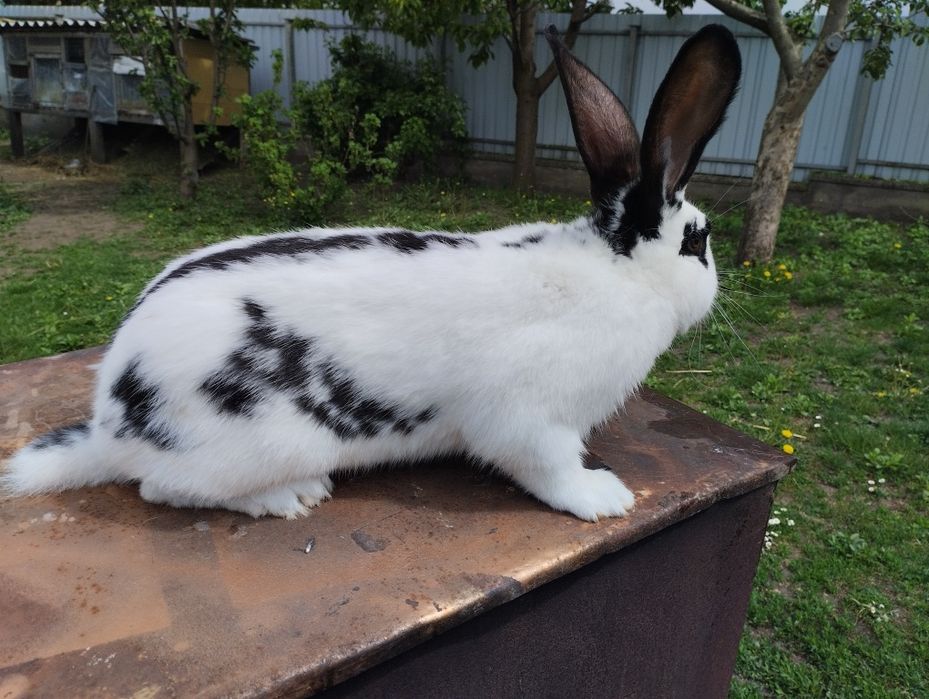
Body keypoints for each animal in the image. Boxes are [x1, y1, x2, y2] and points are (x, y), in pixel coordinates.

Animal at [2, 25, 741, 522]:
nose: (715, 292)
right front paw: (604, 497)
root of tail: (109, 423)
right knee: (160, 489)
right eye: (697, 243)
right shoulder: (531, 420)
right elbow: (550, 468)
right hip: (244, 449)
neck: (615, 270)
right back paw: (290, 497)